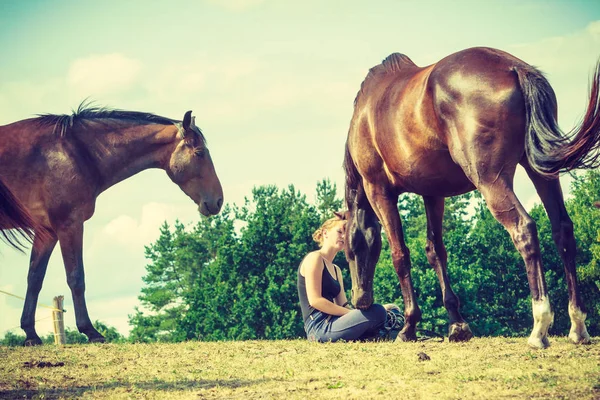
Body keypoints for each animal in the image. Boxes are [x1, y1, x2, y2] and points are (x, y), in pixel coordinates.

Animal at [0, 104, 223, 346]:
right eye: (199, 153)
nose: (218, 201)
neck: (75, 152)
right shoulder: (70, 224)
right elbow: (76, 277)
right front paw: (91, 331)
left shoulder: (47, 232)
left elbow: (35, 279)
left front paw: (31, 334)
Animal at [342, 46, 600, 346]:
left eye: (348, 251)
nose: (359, 300)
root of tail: (514, 68)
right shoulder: (433, 193)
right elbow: (435, 251)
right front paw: (457, 324)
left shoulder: (379, 191)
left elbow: (400, 255)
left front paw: (409, 326)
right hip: (542, 173)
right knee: (563, 231)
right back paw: (578, 326)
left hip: (490, 180)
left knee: (524, 229)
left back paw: (539, 326)